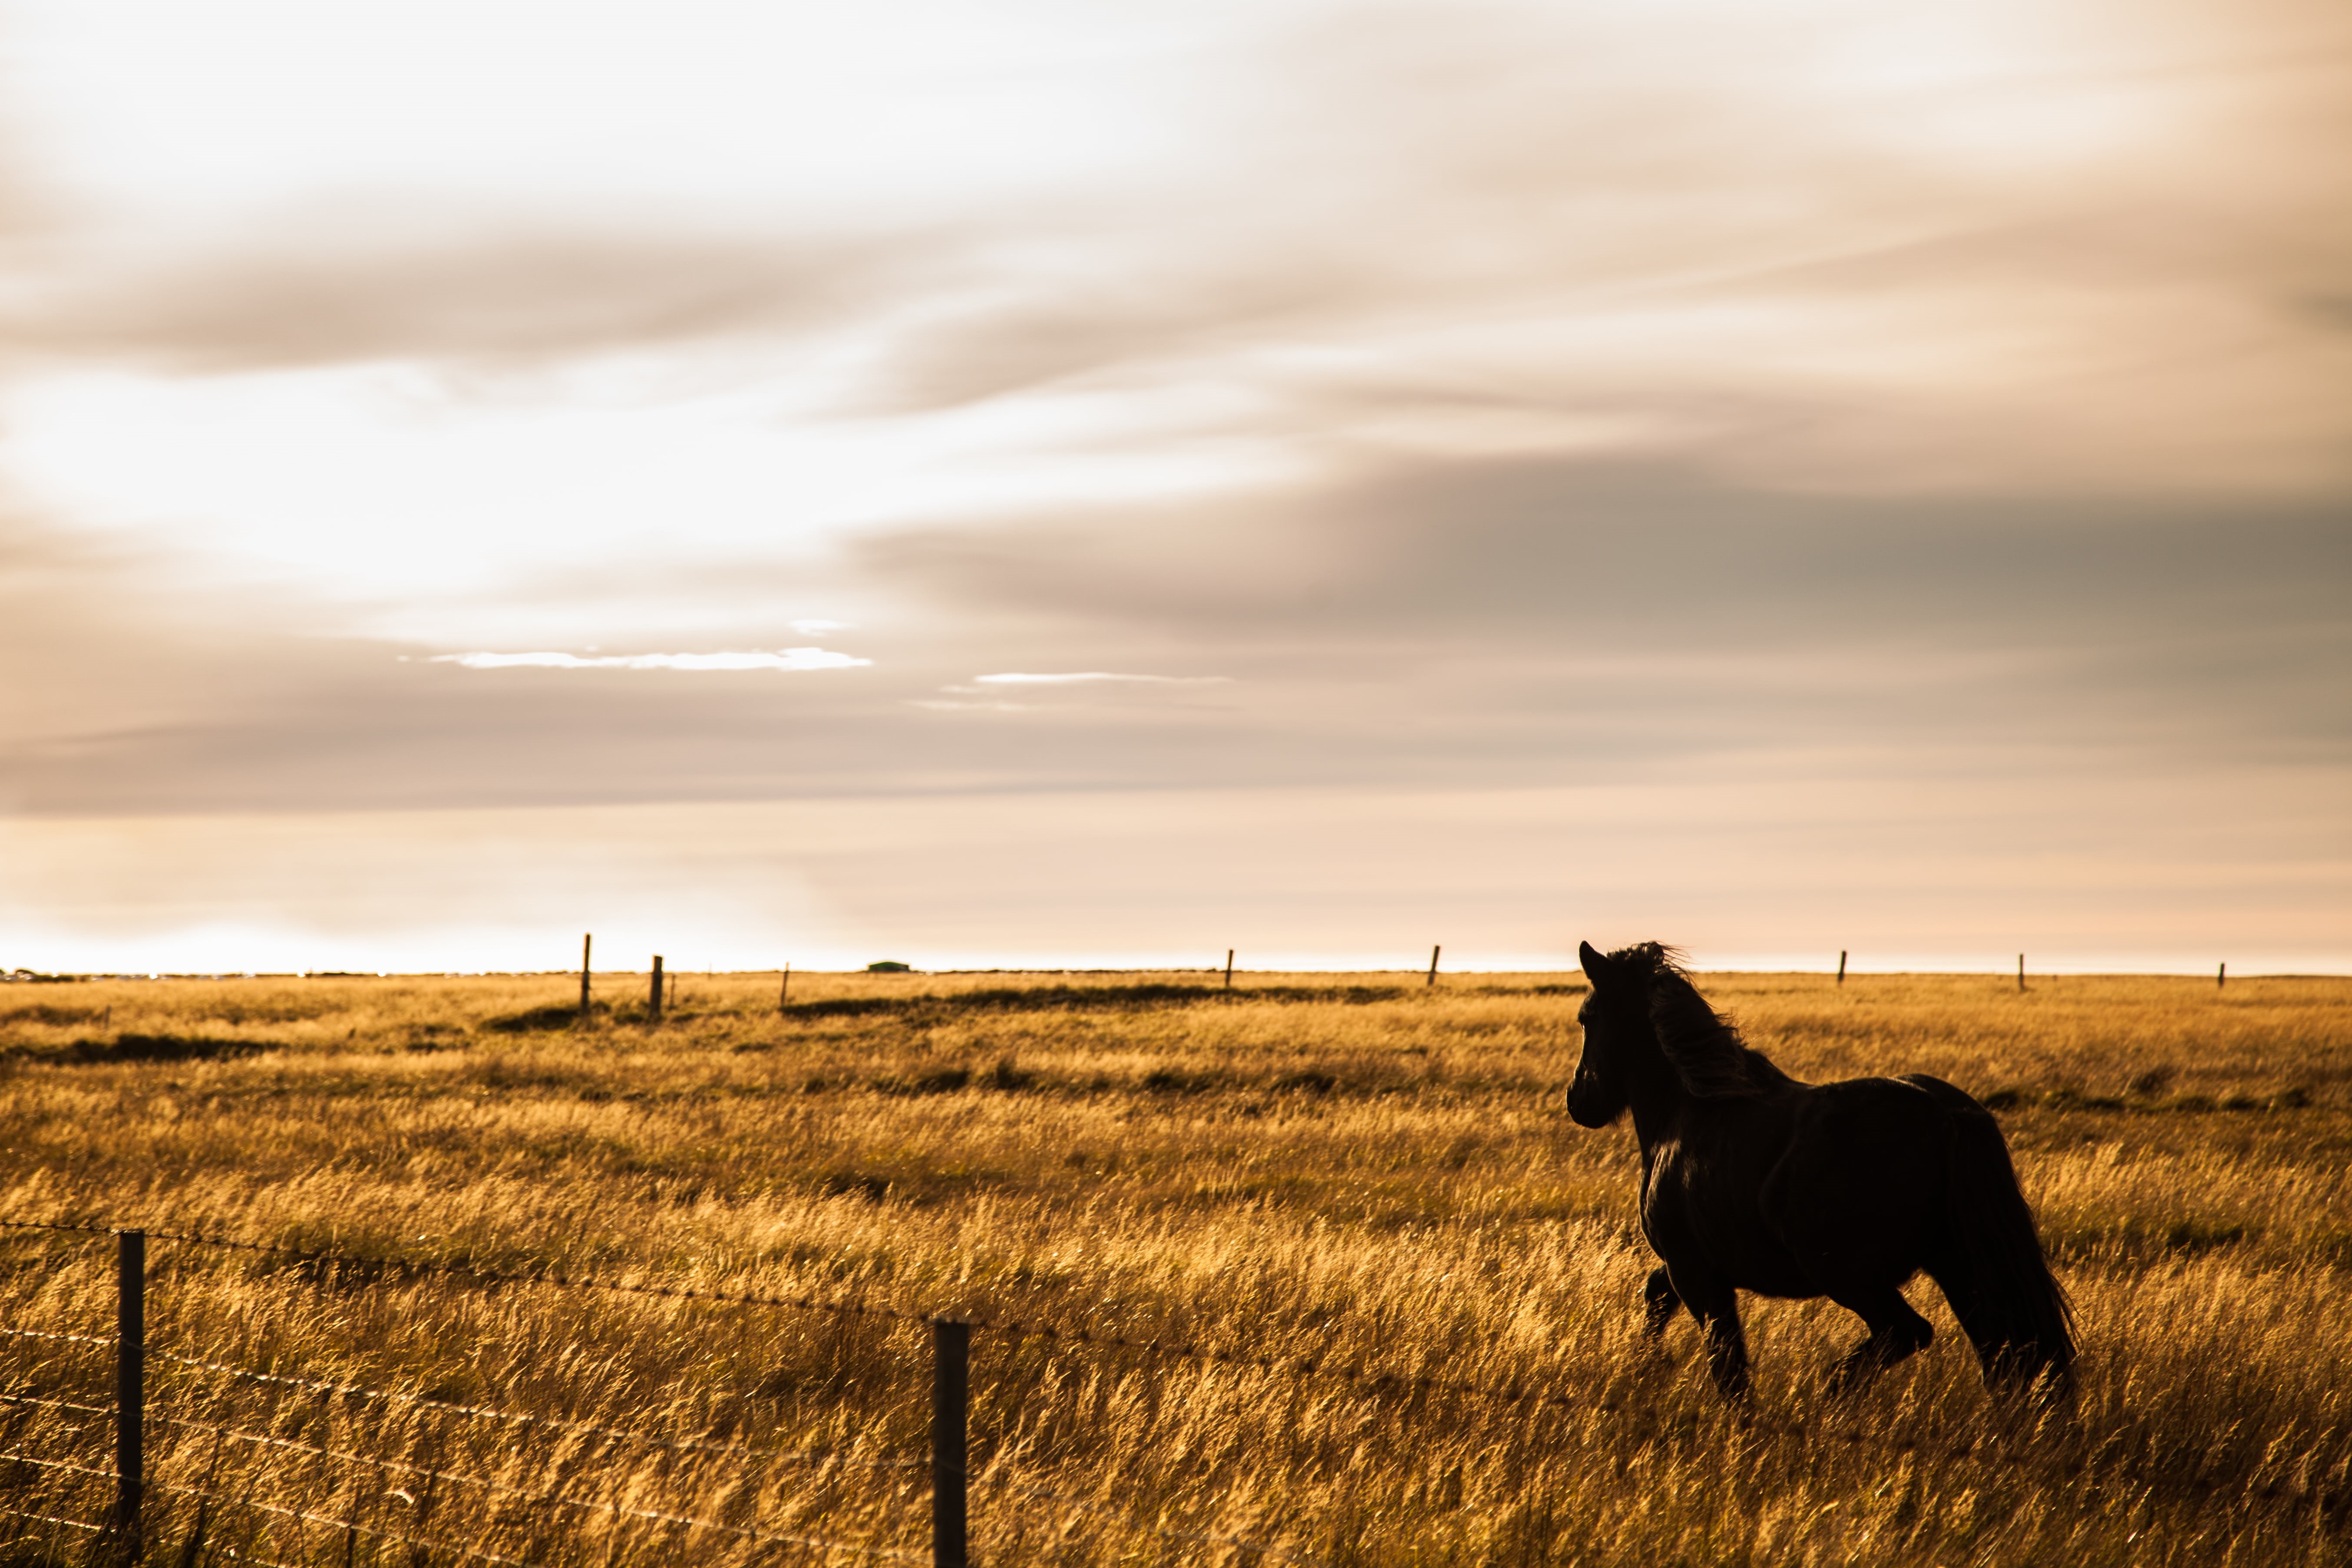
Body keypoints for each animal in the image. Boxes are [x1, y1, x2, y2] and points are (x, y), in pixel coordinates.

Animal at [1566, 940, 2073, 1406]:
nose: (1578, 1100)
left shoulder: (1695, 1269)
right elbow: (1658, 1297)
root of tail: (1944, 1114)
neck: (1687, 1112)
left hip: (1847, 1273)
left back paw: (1829, 1393)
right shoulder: (1694, 1265)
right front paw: (1646, 1366)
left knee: (1909, 1332)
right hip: (1957, 1265)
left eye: (1586, 1017)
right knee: (2004, 1354)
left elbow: (1729, 1368)